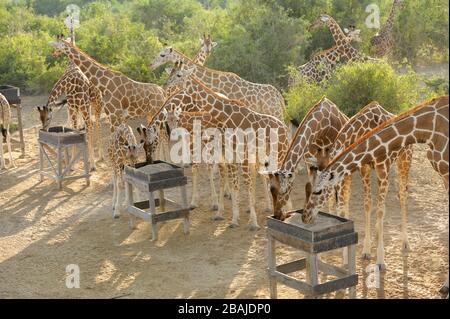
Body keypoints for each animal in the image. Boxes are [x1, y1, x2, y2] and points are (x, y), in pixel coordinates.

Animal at [167, 73, 290, 230]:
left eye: (178, 74)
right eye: (167, 120)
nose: (168, 85)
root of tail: (283, 127)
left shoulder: (236, 156)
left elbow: (241, 183)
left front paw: (252, 222)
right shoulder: (228, 156)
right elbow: (231, 183)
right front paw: (228, 216)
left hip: (274, 153)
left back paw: (280, 210)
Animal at [306, 102, 414, 268]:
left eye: (320, 189)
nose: (307, 217)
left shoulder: (383, 166)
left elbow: (380, 210)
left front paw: (380, 260)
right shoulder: (364, 168)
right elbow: (367, 204)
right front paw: (366, 251)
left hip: (405, 159)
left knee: (402, 195)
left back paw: (405, 243)